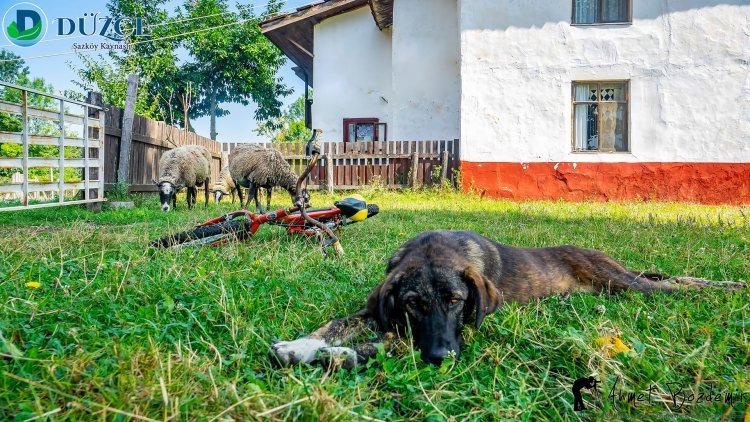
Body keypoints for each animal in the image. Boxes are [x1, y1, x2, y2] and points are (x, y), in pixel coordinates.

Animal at [270, 231, 748, 370]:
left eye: (456, 300)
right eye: (412, 304)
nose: (441, 358)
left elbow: (381, 342)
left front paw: (341, 355)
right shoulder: (378, 310)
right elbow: (335, 323)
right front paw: (300, 345)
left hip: (628, 286)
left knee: (676, 286)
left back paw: (727, 287)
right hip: (626, 282)